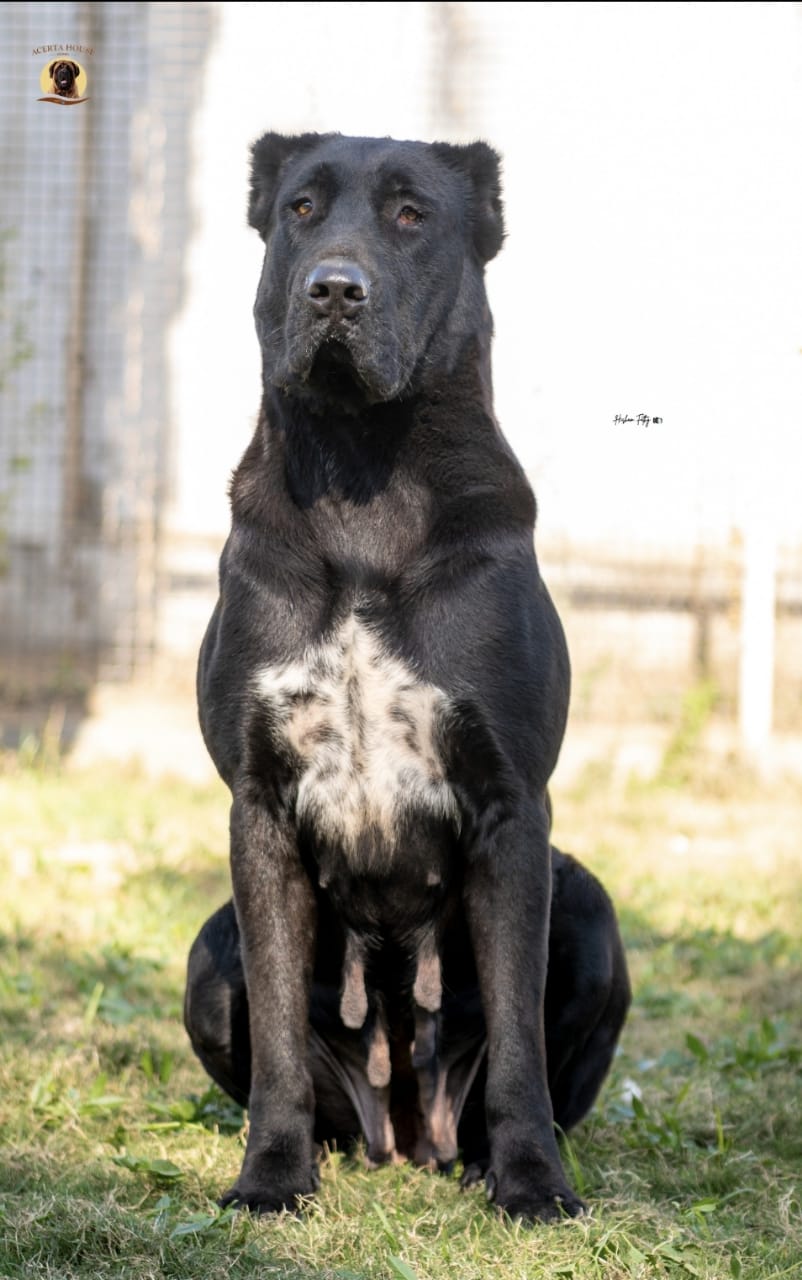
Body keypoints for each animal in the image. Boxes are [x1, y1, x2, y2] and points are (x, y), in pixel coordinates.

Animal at [184, 131, 630, 1222]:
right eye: (301, 208)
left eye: (410, 215)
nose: (333, 289)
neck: (363, 476)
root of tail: (402, 1132)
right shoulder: (258, 803)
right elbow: (278, 1039)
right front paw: (269, 1181)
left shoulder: (511, 804)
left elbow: (516, 1036)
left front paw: (531, 1185)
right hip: (203, 958)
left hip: (594, 912)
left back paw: (478, 1159)